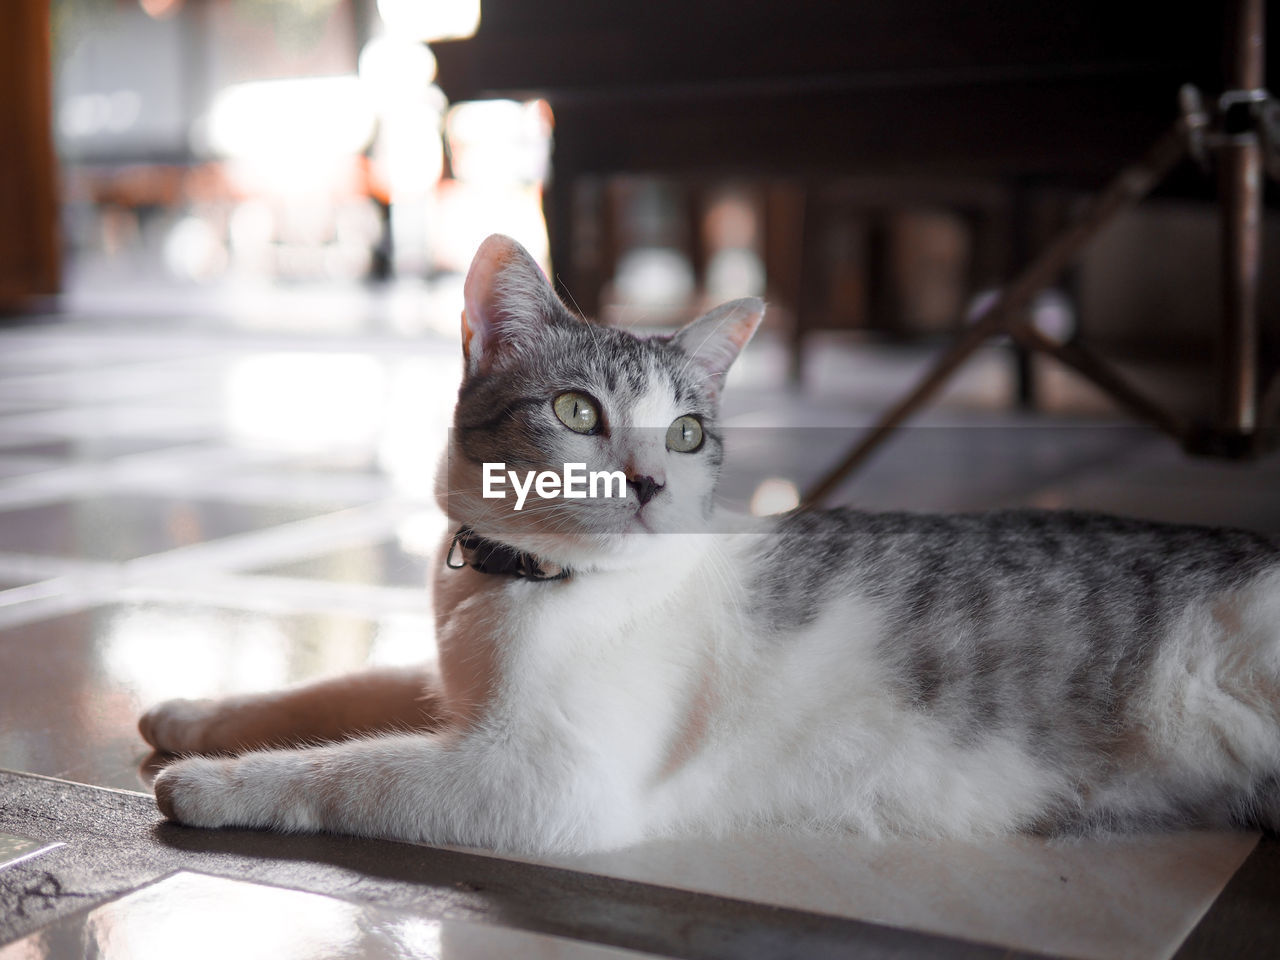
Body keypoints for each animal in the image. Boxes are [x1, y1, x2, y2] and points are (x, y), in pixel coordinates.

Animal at [140, 232, 1280, 855]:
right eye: (577, 412)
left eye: (686, 433)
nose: (647, 481)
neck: (518, 584)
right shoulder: (444, 684)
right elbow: (331, 695)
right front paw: (195, 716)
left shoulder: (540, 781)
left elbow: (350, 767)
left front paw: (212, 785)